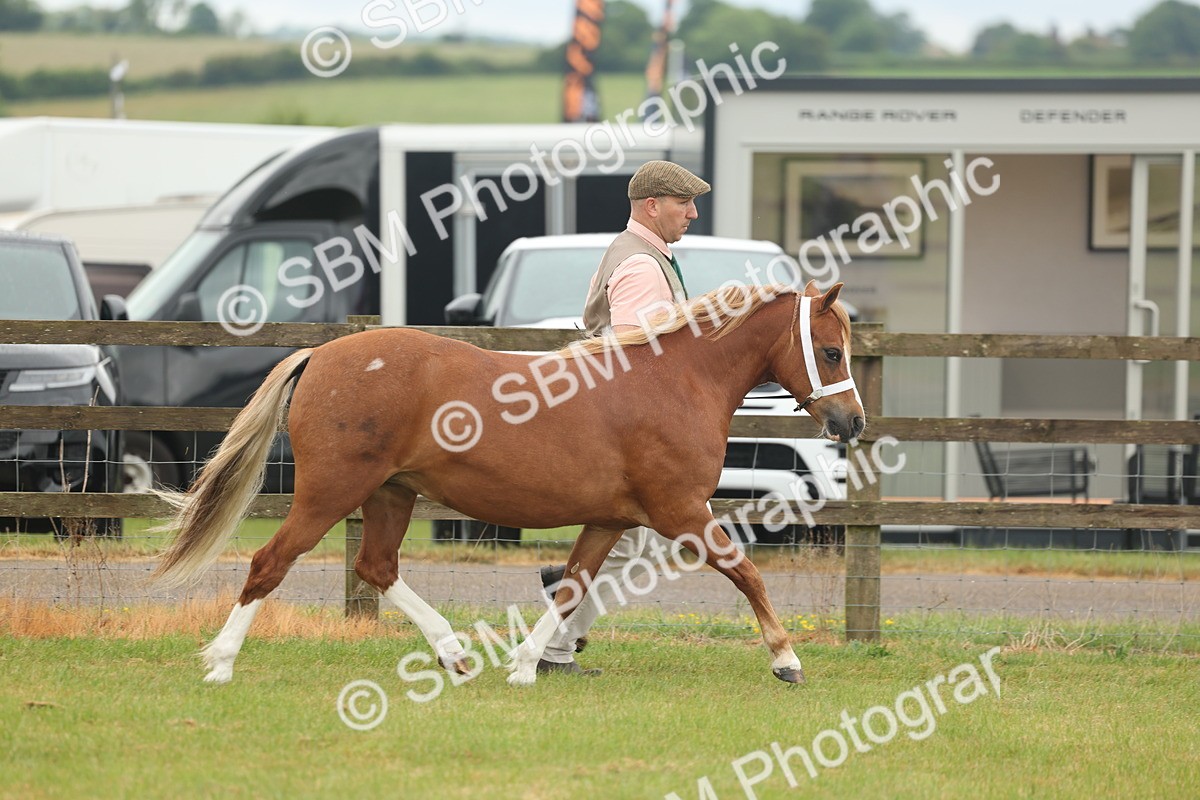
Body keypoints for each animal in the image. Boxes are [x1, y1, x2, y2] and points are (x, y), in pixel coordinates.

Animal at [152, 280, 865, 687]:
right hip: (332, 493)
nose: (852, 422)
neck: (674, 381)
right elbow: (747, 573)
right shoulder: (682, 511)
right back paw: (220, 663)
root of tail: (321, 354)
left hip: (391, 493)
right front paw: (786, 660)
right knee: (270, 563)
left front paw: (525, 664)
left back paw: (453, 653)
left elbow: (571, 586)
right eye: (831, 351)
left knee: (377, 567)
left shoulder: (611, 519)